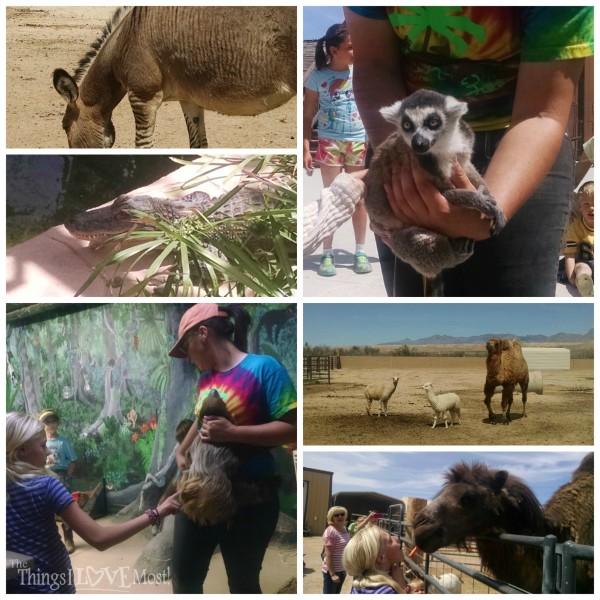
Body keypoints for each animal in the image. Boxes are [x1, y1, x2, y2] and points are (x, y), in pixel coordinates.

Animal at [54, 7, 296, 149]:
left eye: (64, 126)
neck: (125, 41)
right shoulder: (189, 100)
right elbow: (198, 145)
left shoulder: (143, 97)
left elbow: (143, 146)